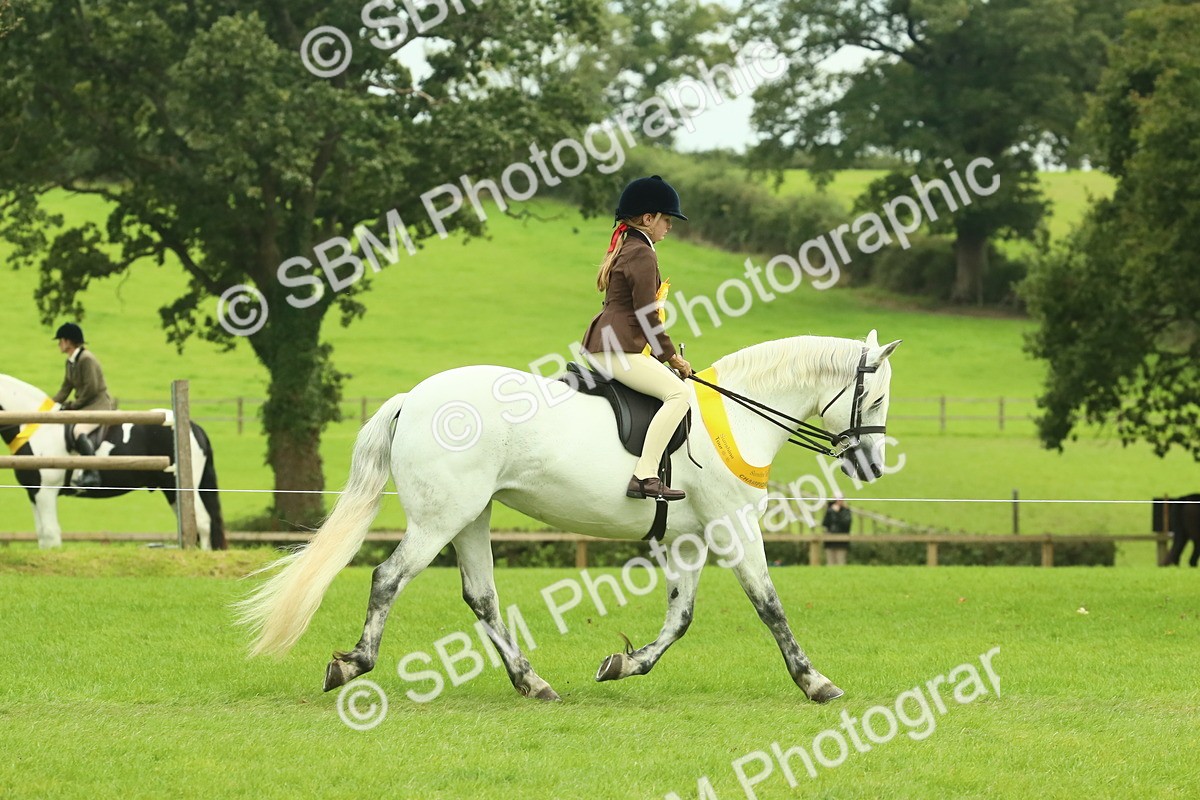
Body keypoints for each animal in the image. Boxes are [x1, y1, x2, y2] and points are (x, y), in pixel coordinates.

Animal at [0, 374, 225, 550]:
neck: (34, 426)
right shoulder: (34, 492)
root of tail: (192, 427)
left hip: (182, 486)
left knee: (203, 522)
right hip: (172, 490)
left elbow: (50, 534)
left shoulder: (46, 491)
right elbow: (42, 536)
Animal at [237, 331, 900, 703]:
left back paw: (532, 683)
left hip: (470, 517)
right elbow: (769, 606)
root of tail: (412, 399)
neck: (736, 417)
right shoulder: (733, 527)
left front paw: (623, 663)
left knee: (481, 597)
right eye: (877, 396)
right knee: (389, 578)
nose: (871, 465)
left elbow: (680, 618)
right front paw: (816, 683)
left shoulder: (689, 540)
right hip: (440, 519)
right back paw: (352, 664)